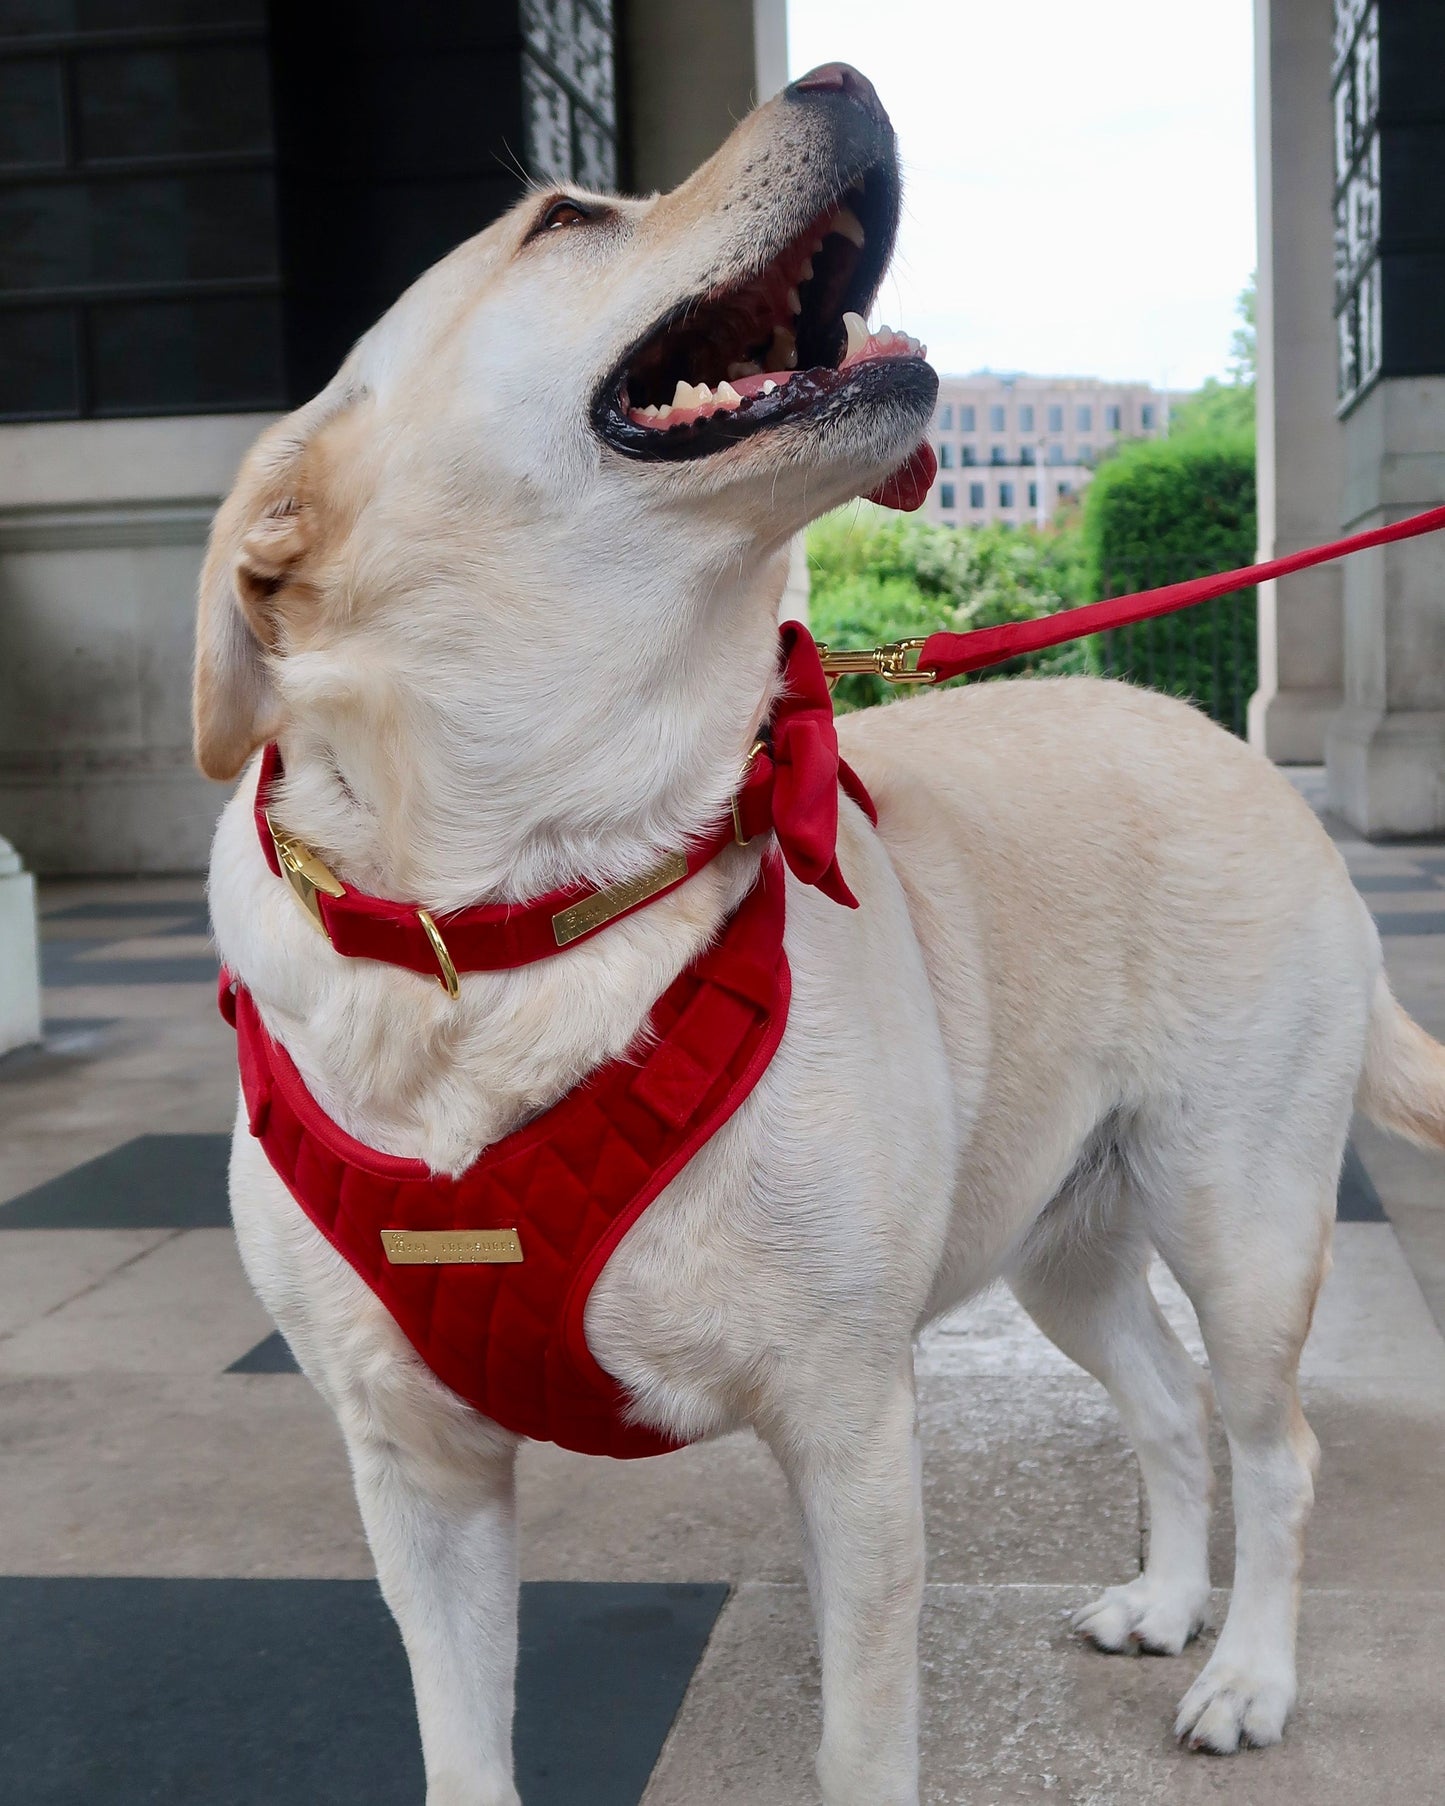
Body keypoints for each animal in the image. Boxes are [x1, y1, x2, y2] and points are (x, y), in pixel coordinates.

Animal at [191, 60, 1445, 1806]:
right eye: (563, 216)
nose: (843, 78)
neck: (520, 907)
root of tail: (1227, 745)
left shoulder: (848, 1429)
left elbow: (862, 1740)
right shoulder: (415, 1472)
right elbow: (462, 1745)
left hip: (1241, 1214)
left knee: (1275, 1445)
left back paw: (1248, 1669)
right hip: (1065, 1240)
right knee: (1165, 1407)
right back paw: (1166, 1599)